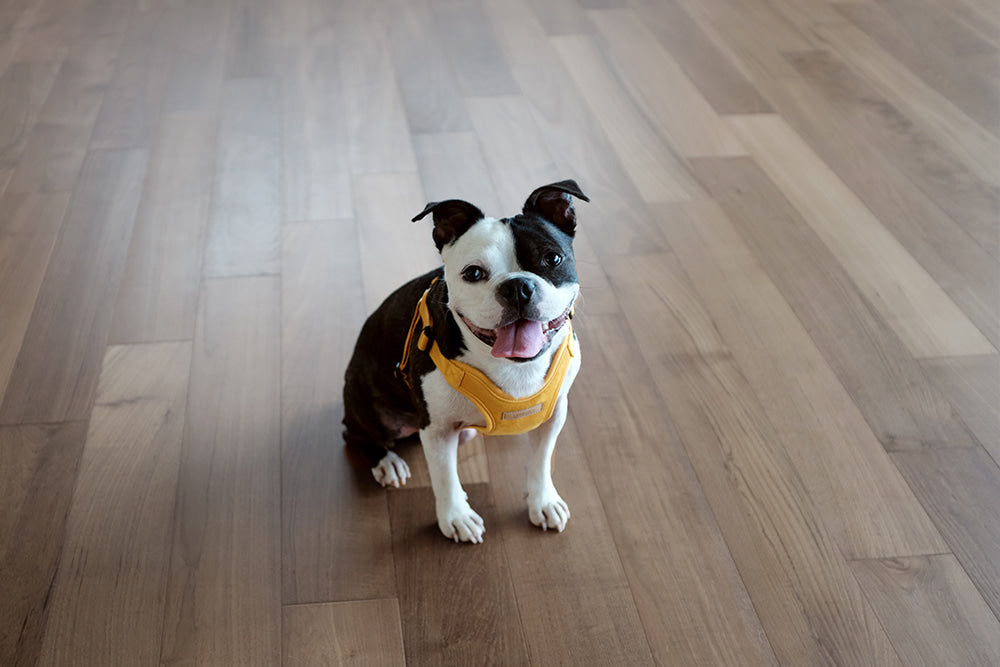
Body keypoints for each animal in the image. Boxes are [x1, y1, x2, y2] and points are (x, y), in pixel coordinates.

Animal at [344, 181, 588, 544]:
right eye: (474, 273)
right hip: (369, 408)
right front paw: (456, 517)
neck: (514, 365)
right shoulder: (437, 429)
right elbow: (445, 476)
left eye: (553, 258)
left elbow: (541, 459)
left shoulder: (554, 413)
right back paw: (386, 462)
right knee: (357, 436)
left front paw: (542, 501)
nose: (518, 286)